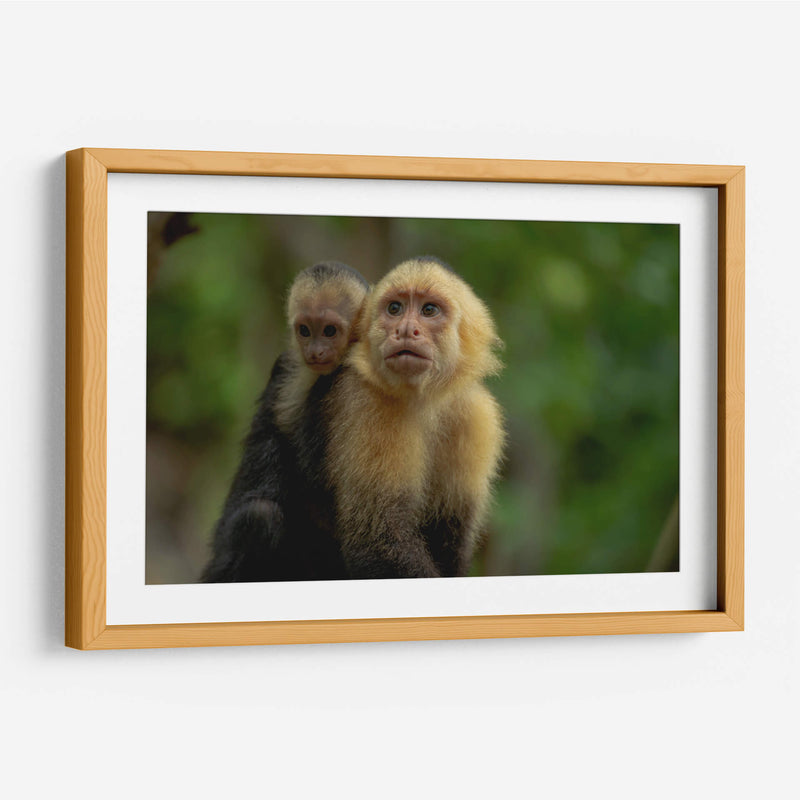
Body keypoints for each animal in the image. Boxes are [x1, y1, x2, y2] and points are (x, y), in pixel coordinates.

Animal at [321, 256, 505, 579]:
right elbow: (376, 539)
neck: (427, 401)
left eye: (428, 310)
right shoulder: (370, 401)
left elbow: (452, 540)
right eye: (395, 309)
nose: (406, 330)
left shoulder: (477, 416)